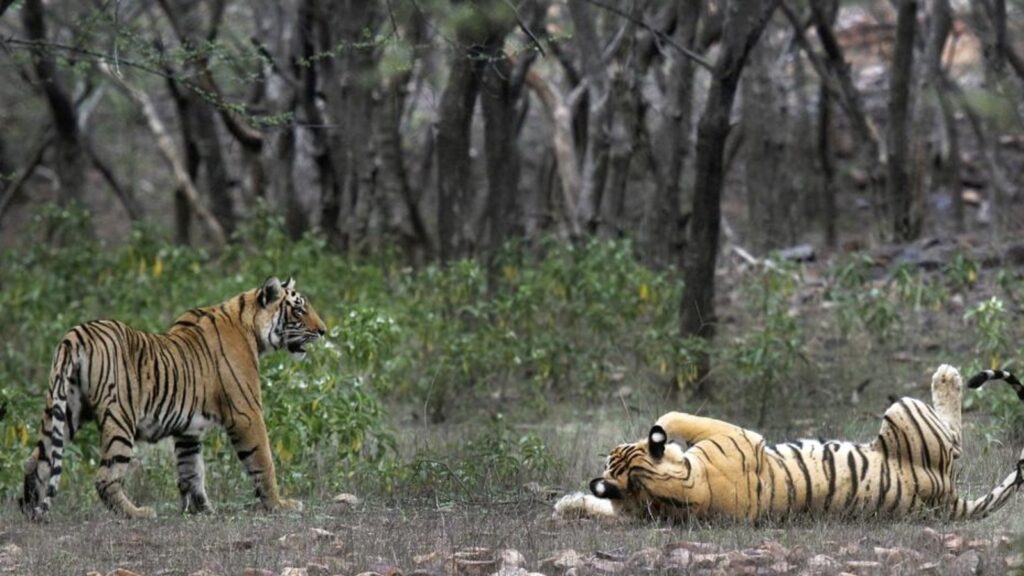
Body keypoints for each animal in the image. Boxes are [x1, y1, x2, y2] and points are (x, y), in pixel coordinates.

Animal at [20, 276, 326, 520]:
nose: (323, 330)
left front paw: (202, 510)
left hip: (65, 409)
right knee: (105, 477)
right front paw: (279, 505)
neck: (250, 327)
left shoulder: (188, 429)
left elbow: (191, 470)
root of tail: (76, 334)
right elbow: (263, 461)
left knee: (37, 459)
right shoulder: (246, 413)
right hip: (119, 417)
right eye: (299, 309)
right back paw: (137, 513)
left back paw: (29, 509)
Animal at [555, 364, 1024, 522]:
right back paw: (947, 376)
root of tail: (947, 499)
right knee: (956, 437)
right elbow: (671, 418)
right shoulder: (735, 434)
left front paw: (568, 504)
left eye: (613, 454)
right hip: (904, 411)